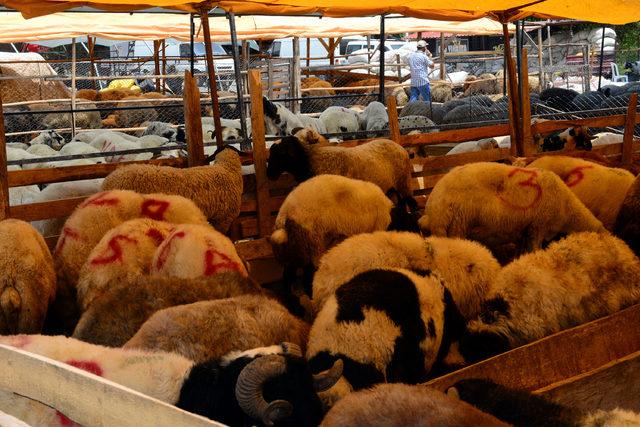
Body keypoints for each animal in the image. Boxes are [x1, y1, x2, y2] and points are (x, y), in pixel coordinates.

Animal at [418, 163, 608, 258]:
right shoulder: (538, 225)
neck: (568, 209)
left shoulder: (526, 229)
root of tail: (434, 207)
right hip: (458, 224)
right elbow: (535, 248)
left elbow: (523, 250)